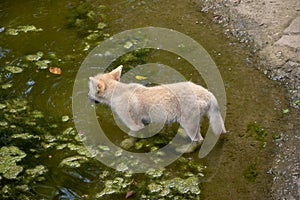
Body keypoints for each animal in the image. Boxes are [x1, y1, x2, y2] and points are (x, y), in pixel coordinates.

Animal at [88, 65, 225, 141]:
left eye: (90, 90)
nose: (87, 96)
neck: (118, 93)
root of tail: (207, 93)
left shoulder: (135, 125)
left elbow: (132, 135)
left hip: (189, 124)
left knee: (197, 140)